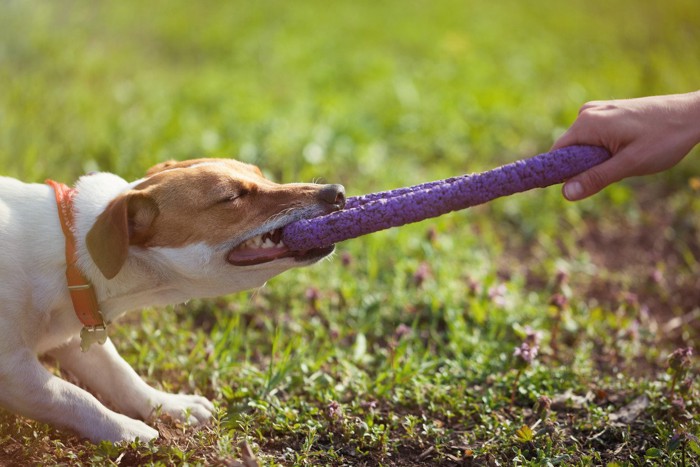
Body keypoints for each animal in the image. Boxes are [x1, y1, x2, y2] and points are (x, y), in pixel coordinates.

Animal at [0, 159, 344, 444]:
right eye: (232, 197)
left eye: (262, 174)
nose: (338, 192)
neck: (71, 251)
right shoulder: (13, 368)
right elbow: (70, 394)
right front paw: (129, 431)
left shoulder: (74, 334)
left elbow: (121, 375)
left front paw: (173, 406)